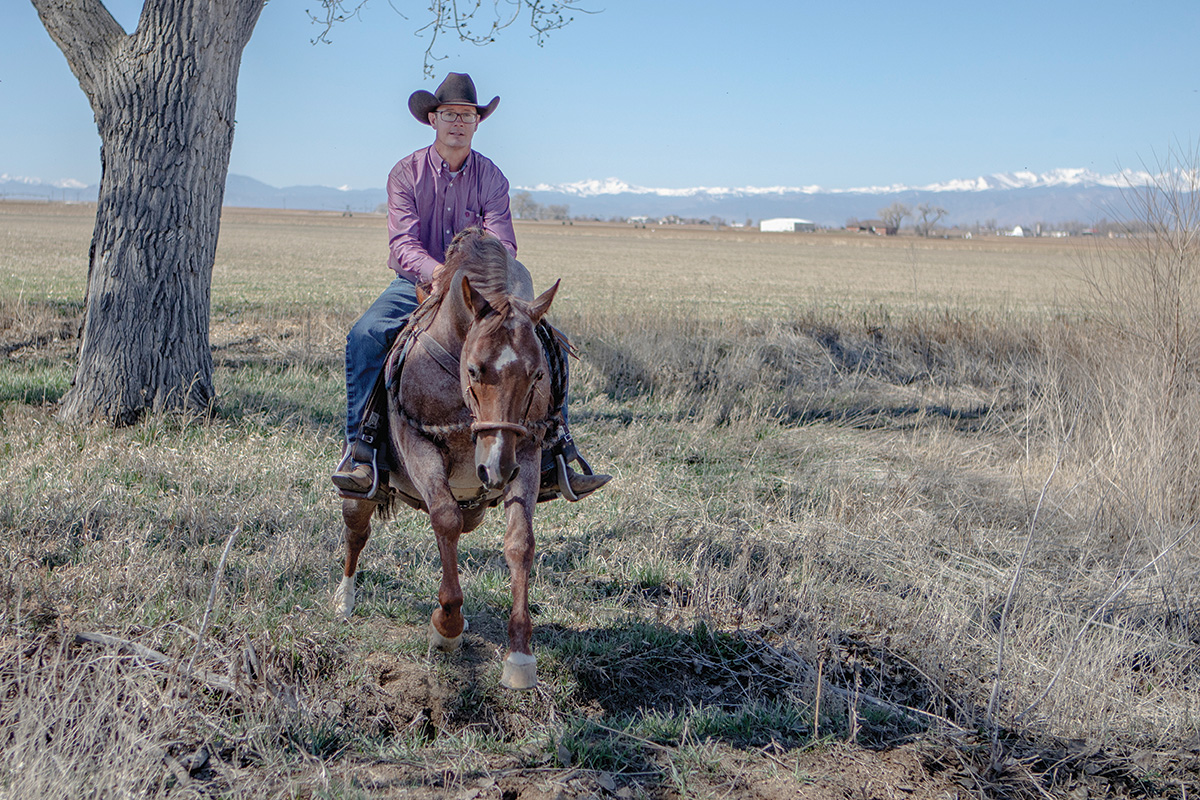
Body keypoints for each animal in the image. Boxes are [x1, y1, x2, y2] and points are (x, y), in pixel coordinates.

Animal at [336, 227, 559, 690]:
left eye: (536, 374)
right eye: (474, 369)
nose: (496, 467)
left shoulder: (526, 453)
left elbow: (520, 541)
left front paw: (520, 653)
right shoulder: (420, 446)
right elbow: (445, 520)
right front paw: (447, 626)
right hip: (362, 489)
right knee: (356, 530)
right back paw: (344, 601)